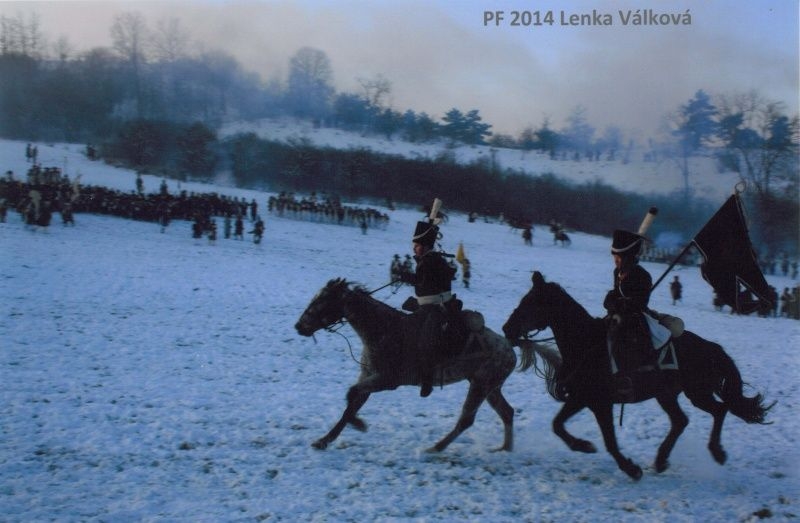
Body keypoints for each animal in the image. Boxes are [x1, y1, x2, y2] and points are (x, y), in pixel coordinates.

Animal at [296, 278, 520, 454]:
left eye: (322, 301)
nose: (298, 326)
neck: (385, 330)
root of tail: (509, 348)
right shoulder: (368, 377)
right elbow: (350, 405)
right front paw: (324, 441)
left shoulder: (386, 381)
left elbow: (351, 395)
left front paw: (359, 424)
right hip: (490, 388)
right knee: (507, 412)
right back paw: (505, 449)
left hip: (481, 386)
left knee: (466, 420)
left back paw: (436, 448)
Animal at [504, 272, 772, 482]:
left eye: (531, 302)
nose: (507, 329)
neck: (587, 344)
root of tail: (711, 348)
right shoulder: (582, 399)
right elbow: (558, 425)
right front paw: (584, 446)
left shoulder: (600, 403)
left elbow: (609, 441)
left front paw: (629, 468)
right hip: (667, 394)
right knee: (681, 421)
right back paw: (661, 460)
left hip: (697, 392)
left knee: (719, 410)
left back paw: (717, 452)